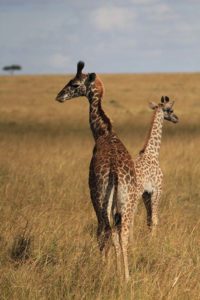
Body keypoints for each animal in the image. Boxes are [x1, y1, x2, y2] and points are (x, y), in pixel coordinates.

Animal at [56, 61, 138, 282]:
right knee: (123, 234)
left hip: (100, 199)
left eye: (75, 84)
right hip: (128, 203)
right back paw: (126, 277)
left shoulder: (93, 193)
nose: (59, 96)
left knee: (106, 231)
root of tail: (116, 175)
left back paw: (109, 271)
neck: (103, 132)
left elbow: (101, 233)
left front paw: (105, 268)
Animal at [134, 96, 178, 232]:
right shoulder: (157, 190)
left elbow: (148, 219)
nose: (177, 118)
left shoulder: (146, 193)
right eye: (170, 110)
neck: (152, 152)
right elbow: (155, 219)